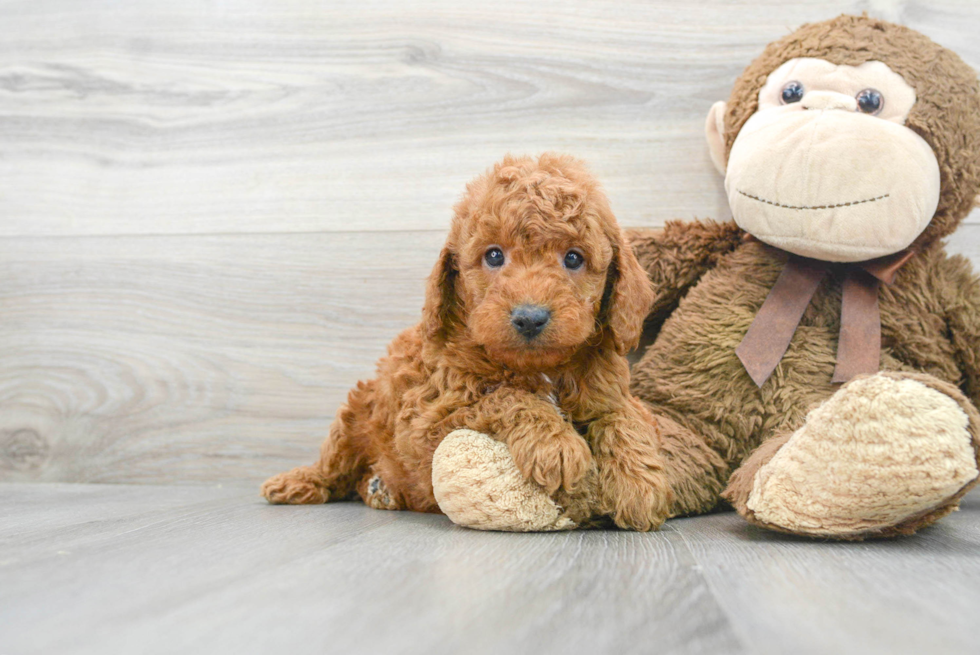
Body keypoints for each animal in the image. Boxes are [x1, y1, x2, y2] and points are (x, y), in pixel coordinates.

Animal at [260, 155, 672, 532]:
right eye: (494, 255)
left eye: (573, 258)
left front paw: (640, 483)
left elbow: (624, 418)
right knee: (333, 464)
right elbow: (503, 396)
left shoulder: (610, 392)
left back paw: (380, 488)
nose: (530, 317)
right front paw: (556, 444)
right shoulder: (427, 420)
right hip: (357, 411)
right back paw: (297, 482)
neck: (538, 366)